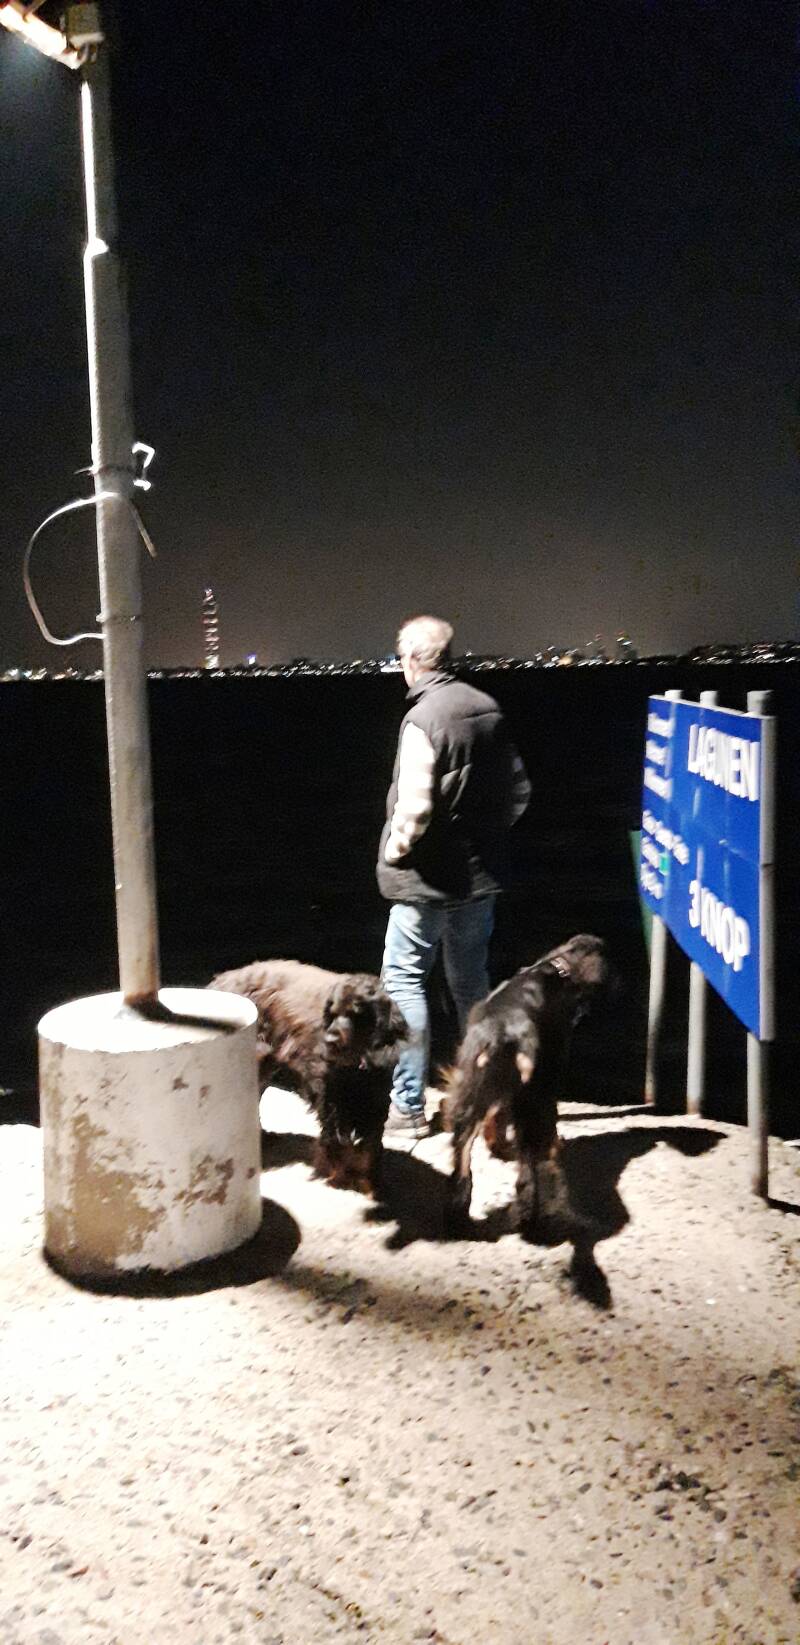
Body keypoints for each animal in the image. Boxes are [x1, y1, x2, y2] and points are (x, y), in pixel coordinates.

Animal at [208, 960, 407, 1194]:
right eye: (332, 1012)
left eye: (356, 1013)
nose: (329, 1040)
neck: (358, 1062)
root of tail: (218, 981)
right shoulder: (330, 1099)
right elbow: (337, 1141)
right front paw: (339, 1176)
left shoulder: (375, 1100)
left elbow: (370, 1145)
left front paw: (369, 1180)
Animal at [444, 934, 611, 1231]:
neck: (557, 970)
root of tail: (499, 1035)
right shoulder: (548, 1076)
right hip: (529, 1100)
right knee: (527, 1167)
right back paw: (529, 1215)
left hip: (469, 1098)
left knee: (462, 1158)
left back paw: (458, 1214)